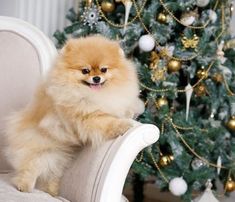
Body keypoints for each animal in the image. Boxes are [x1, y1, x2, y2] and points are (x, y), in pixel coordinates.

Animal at [4, 34, 143, 196]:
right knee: (29, 167)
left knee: (50, 173)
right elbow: (107, 121)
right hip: (39, 150)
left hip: (57, 156)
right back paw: (24, 186)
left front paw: (132, 112)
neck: (95, 95)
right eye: (85, 71)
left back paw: (52, 191)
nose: (96, 78)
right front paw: (123, 125)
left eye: (103, 69)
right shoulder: (86, 119)